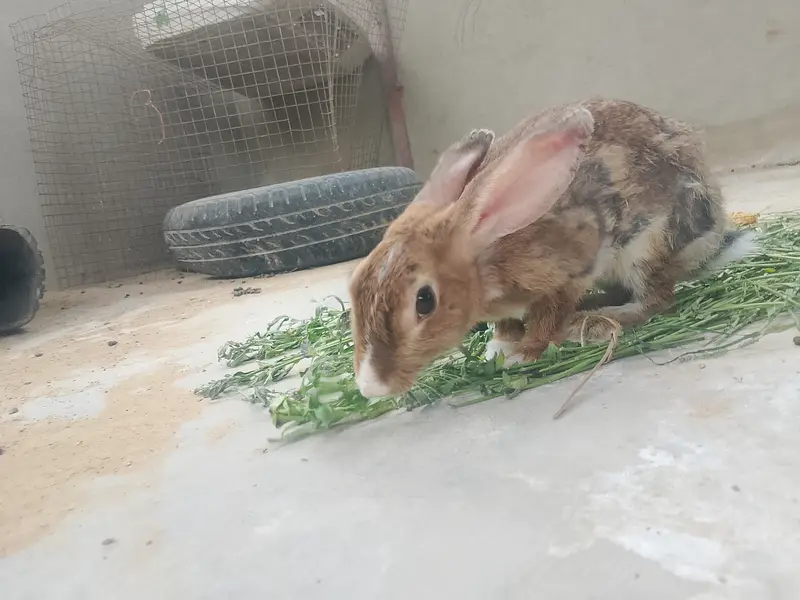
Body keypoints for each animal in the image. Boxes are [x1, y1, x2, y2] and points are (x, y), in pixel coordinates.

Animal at [348, 98, 756, 399]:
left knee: (655, 300)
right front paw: (498, 347)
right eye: (353, 286)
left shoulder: (565, 274)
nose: (370, 387)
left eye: (424, 301)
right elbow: (507, 324)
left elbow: (547, 319)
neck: (486, 251)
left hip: (647, 247)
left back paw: (593, 321)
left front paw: (522, 355)